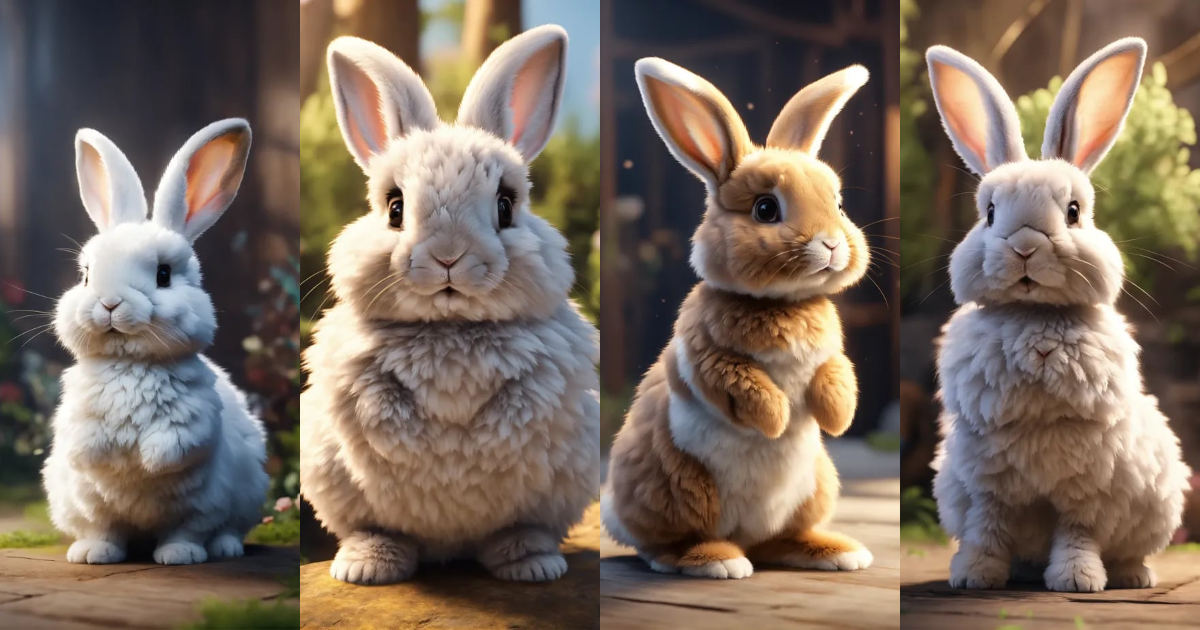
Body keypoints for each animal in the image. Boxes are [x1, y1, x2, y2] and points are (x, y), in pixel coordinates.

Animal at [42, 118, 269, 566]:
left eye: (163, 274)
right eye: (86, 276)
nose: (109, 303)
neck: (129, 364)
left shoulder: (194, 425)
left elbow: (174, 447)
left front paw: (146, 461)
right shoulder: (76, 419)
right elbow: (84, 446)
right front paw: (109, 455)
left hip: (224, 496)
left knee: (200, 529)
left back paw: (193, 552)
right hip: (80, 502)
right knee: (104, 529)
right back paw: (93, 553)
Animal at [299, 24, 599, 585]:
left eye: (505, 206)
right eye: (395, 208)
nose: (448, 256)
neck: (451, 328)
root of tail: (450, 550)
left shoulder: (547, 372)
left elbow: (518, 408)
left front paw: (469, 448)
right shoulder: (354, 373)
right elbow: (379, 408)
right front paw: (436, 450)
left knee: (522, 530)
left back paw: (532, 564)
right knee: (376, 530)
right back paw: (367, 566)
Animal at [601, 58, 875, 579]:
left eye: (839, 203)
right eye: (765, 208)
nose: (832, 244)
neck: (781, 303)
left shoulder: (831, 355)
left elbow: (837, 374)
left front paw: (836, 417)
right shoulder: (701, 355)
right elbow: (738, 381)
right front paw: (777, 420)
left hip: (815, 485)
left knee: (781, 539)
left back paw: (837, 552)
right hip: (679, 486)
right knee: (664, 547)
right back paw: (717, 561)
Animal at [925, 37, 1192, 592]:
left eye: (1073, 212)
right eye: (989, 213)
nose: (1025, 246)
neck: (1034, 318)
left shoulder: (1088, 485)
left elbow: (1078, 533)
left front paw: (1076, 580)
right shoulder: (987, 483)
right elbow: (986, 529)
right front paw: (974, 577)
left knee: (1128, 550)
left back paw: (1134, 577)